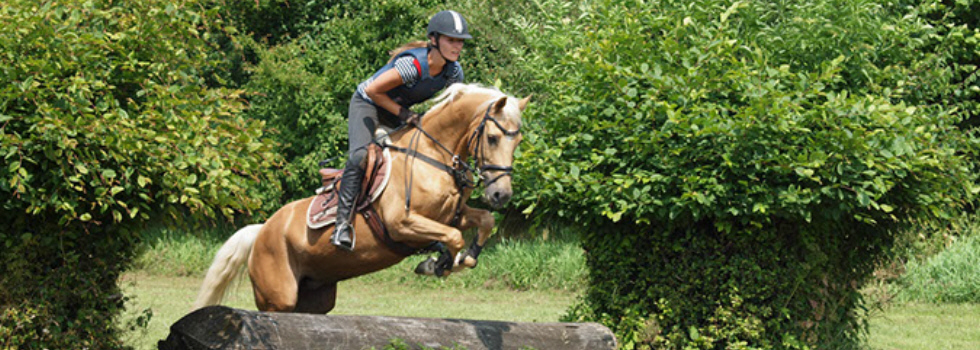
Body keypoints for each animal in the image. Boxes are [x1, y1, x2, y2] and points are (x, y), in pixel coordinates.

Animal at [193, 84, 528, 312]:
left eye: (518, 142)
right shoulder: (402, 223)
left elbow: (484, 221)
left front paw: (461, 259)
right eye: (492, 138)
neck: (432, 155)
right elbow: (454, 237)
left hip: (315, 297)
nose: (501, 194)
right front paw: (437, 263)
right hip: (277, 297)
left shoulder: (453, 214)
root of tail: (262, 231)